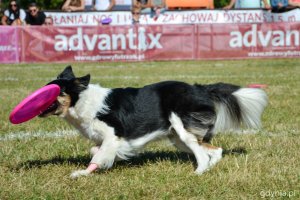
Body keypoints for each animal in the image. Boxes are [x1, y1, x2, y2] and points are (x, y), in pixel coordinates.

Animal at [39, 66, 268, 178]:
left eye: (55, 91)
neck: (82, 101)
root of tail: (199, 88)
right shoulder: (106, 139)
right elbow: (96, 150)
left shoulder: (113, 135)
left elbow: (98, 155)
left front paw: (81, 173)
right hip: (178, 137)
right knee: (215, 149)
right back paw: (210, 167)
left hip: (181, 127)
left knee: (202, 153)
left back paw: (198, 172)